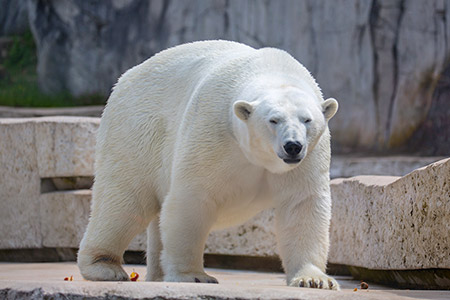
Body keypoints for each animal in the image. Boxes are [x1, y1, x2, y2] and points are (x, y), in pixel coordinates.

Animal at [78, 39, 338, 288]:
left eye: (307, 119)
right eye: (273, 120)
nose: (293, 146)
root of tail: (126, 77)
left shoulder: (309, 158)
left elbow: (302, 205)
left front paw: (314, 280)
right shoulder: (214, 133)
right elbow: (192, 198)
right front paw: (193, 276)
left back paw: (158, 275)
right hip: (137, 131)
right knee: (125, 202)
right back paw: (105, 267)